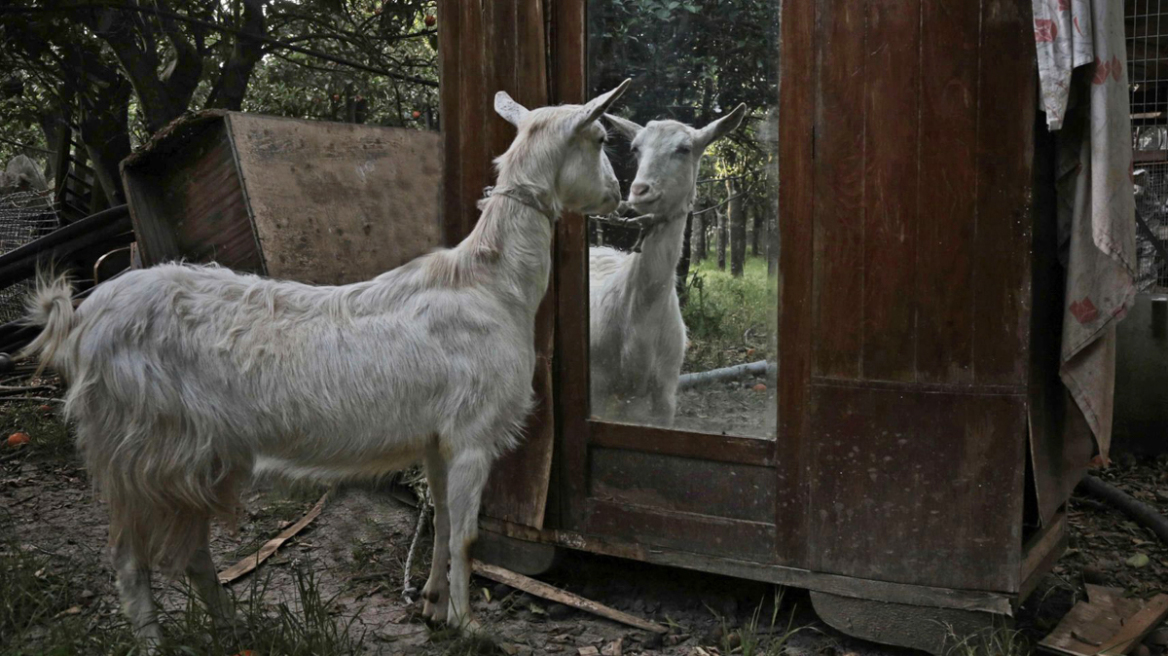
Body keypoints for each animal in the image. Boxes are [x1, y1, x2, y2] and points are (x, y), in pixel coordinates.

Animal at [22, 80, 630, 644]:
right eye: (601, 138)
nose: (618, 194)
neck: (492, 284)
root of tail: (80, 319)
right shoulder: (471, 434)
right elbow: (466, 535)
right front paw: (469, 625)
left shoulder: (437, 438)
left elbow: (440, 526)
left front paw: (432, 605)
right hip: (137, 449)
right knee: (129, 558)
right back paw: (154, 642)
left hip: (191, 455)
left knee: (190, 551)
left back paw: (234, 626)